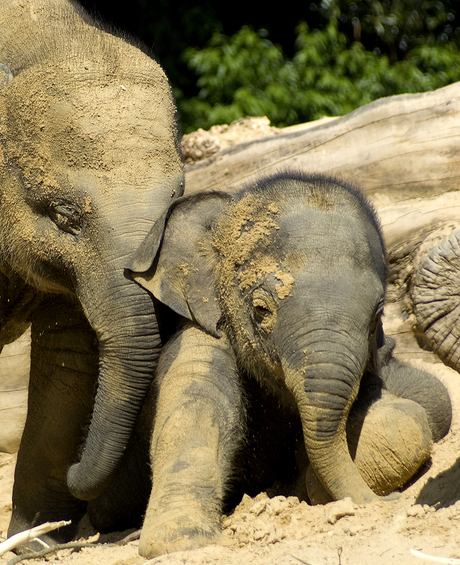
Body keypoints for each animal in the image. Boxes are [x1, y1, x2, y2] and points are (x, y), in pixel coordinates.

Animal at [129, 171, 450, 556]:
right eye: (260, 310)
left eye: (376, 317)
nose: (385, 502)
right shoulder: (204, 329)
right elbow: (195, 402)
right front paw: (180, 540)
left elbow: (418, 407)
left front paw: (309, 483)